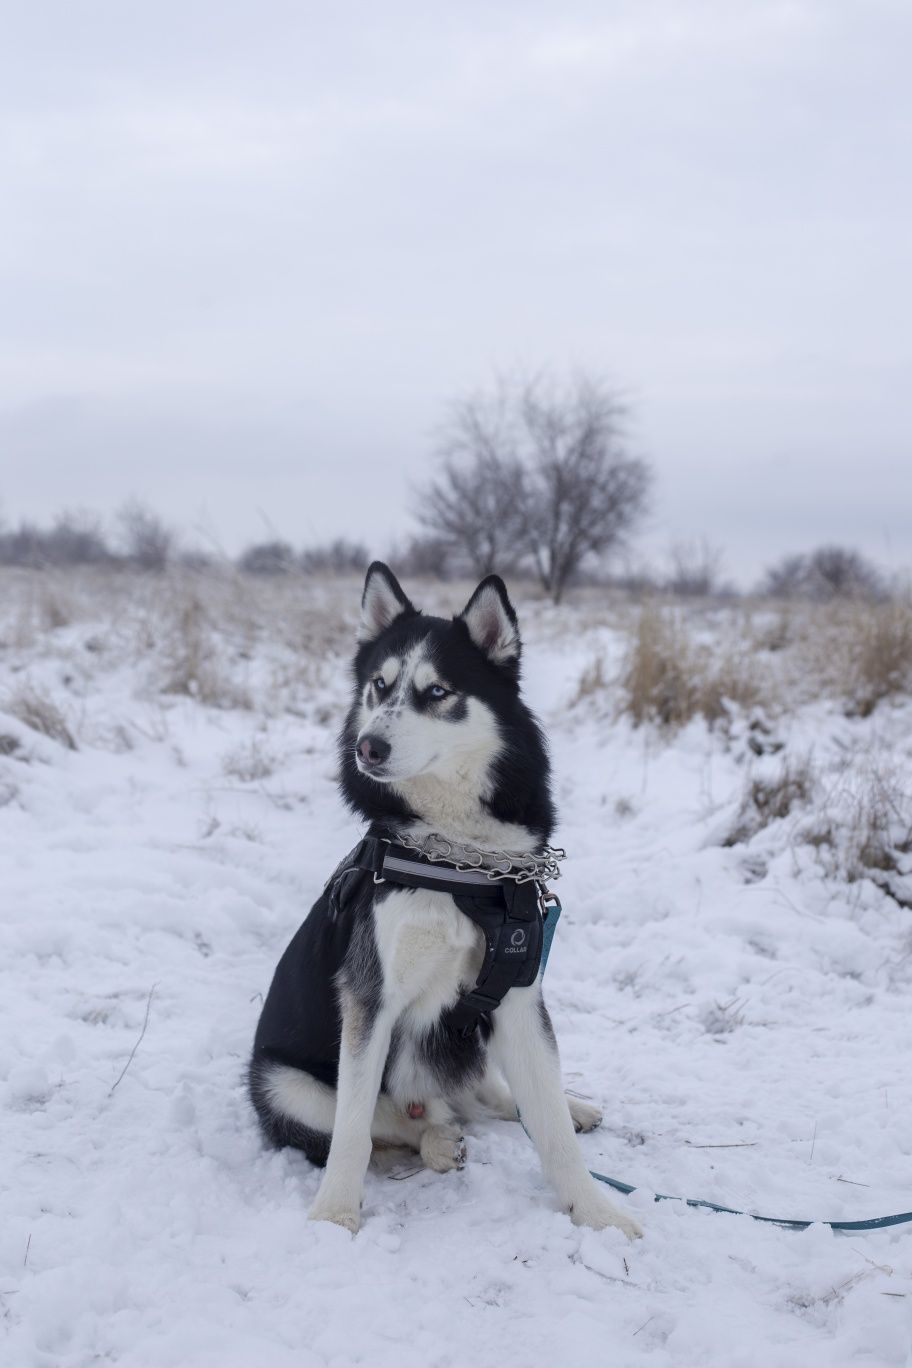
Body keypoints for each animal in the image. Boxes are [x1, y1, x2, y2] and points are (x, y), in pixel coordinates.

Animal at [250, 558, 642, 1242]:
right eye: (378, 687)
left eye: (437, 693)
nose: (368, 748)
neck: (460, 861)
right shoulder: (370, 999)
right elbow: (352, 1130)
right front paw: (333, 1216)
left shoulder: (518, 995)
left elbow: (552, 1130)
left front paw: (595, 1211)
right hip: (281, 1083)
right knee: (391, 1121)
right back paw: (435, 1140)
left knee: (486, 1094)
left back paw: (560, 1106)